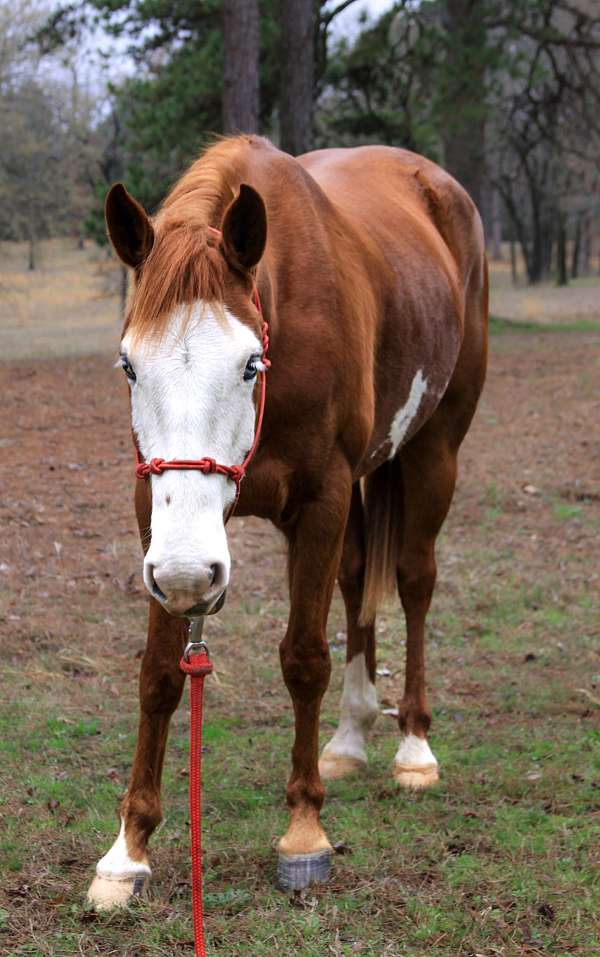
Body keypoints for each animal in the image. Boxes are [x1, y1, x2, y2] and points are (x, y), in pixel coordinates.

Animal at [86, 134, 487, 908]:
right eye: (127, 365)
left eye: (250, 365)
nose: (190, 573)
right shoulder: (156, 515)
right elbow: (159, 674)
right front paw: (128, 850)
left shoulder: (322, 497)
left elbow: (304, 658)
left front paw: (304, 833)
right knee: (359, 580)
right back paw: (350, 738)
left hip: (434, 448)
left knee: (414, 580)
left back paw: (413, 745)